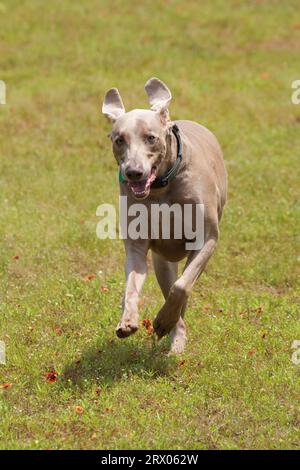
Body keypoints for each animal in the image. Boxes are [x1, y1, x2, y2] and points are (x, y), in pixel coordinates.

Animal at [102, 77, 226, 352]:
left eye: (150, 138)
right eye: (119, 140)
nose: (133, 172)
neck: (162, 187)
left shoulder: (207, 239)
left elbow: (181, 286)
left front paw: (163, 320)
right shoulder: (136, 247)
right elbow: (131, 286)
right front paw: (128, 321)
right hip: (162, 261)